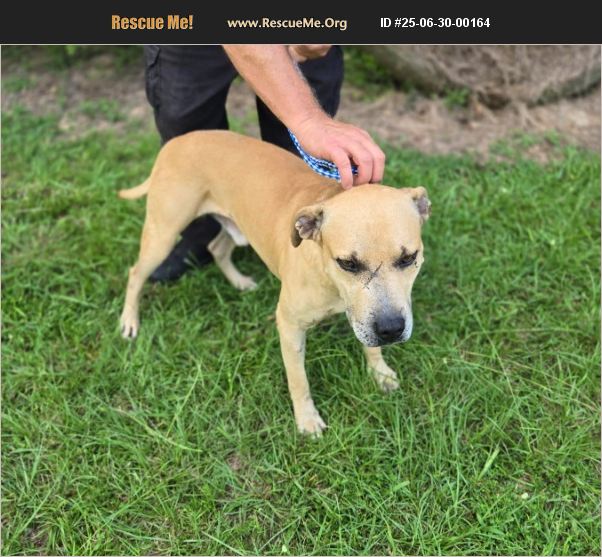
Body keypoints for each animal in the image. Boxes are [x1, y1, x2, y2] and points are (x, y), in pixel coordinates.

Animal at [119, 130, 430, 435]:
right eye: (348, 264)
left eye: (409, 258)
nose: (391, 329)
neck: (328, 279)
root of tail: (178, 141)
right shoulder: (290, 327)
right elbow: (298, 379)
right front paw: (307, 420)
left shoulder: (366, 316)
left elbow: (370, 344)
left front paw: (380, 373)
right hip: (163, 233)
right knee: (135, 273)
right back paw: (129, 321)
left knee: (216, 248)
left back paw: (240, 282)